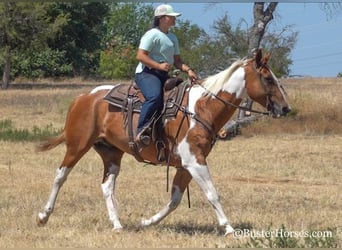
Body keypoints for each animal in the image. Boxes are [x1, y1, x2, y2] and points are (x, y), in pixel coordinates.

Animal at [35, 49, 292, 236]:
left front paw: (146, 222)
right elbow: (212, 193)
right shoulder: (194, 160)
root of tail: (83, 97)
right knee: (60, 175)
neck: (202, 108)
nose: (285, 108)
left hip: (111, 153)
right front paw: (229, 229)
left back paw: (117, 225)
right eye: (268, 78)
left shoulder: (185, 165)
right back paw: (43, 216)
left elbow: (175, 200)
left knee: (107, 185)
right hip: (77, 145)